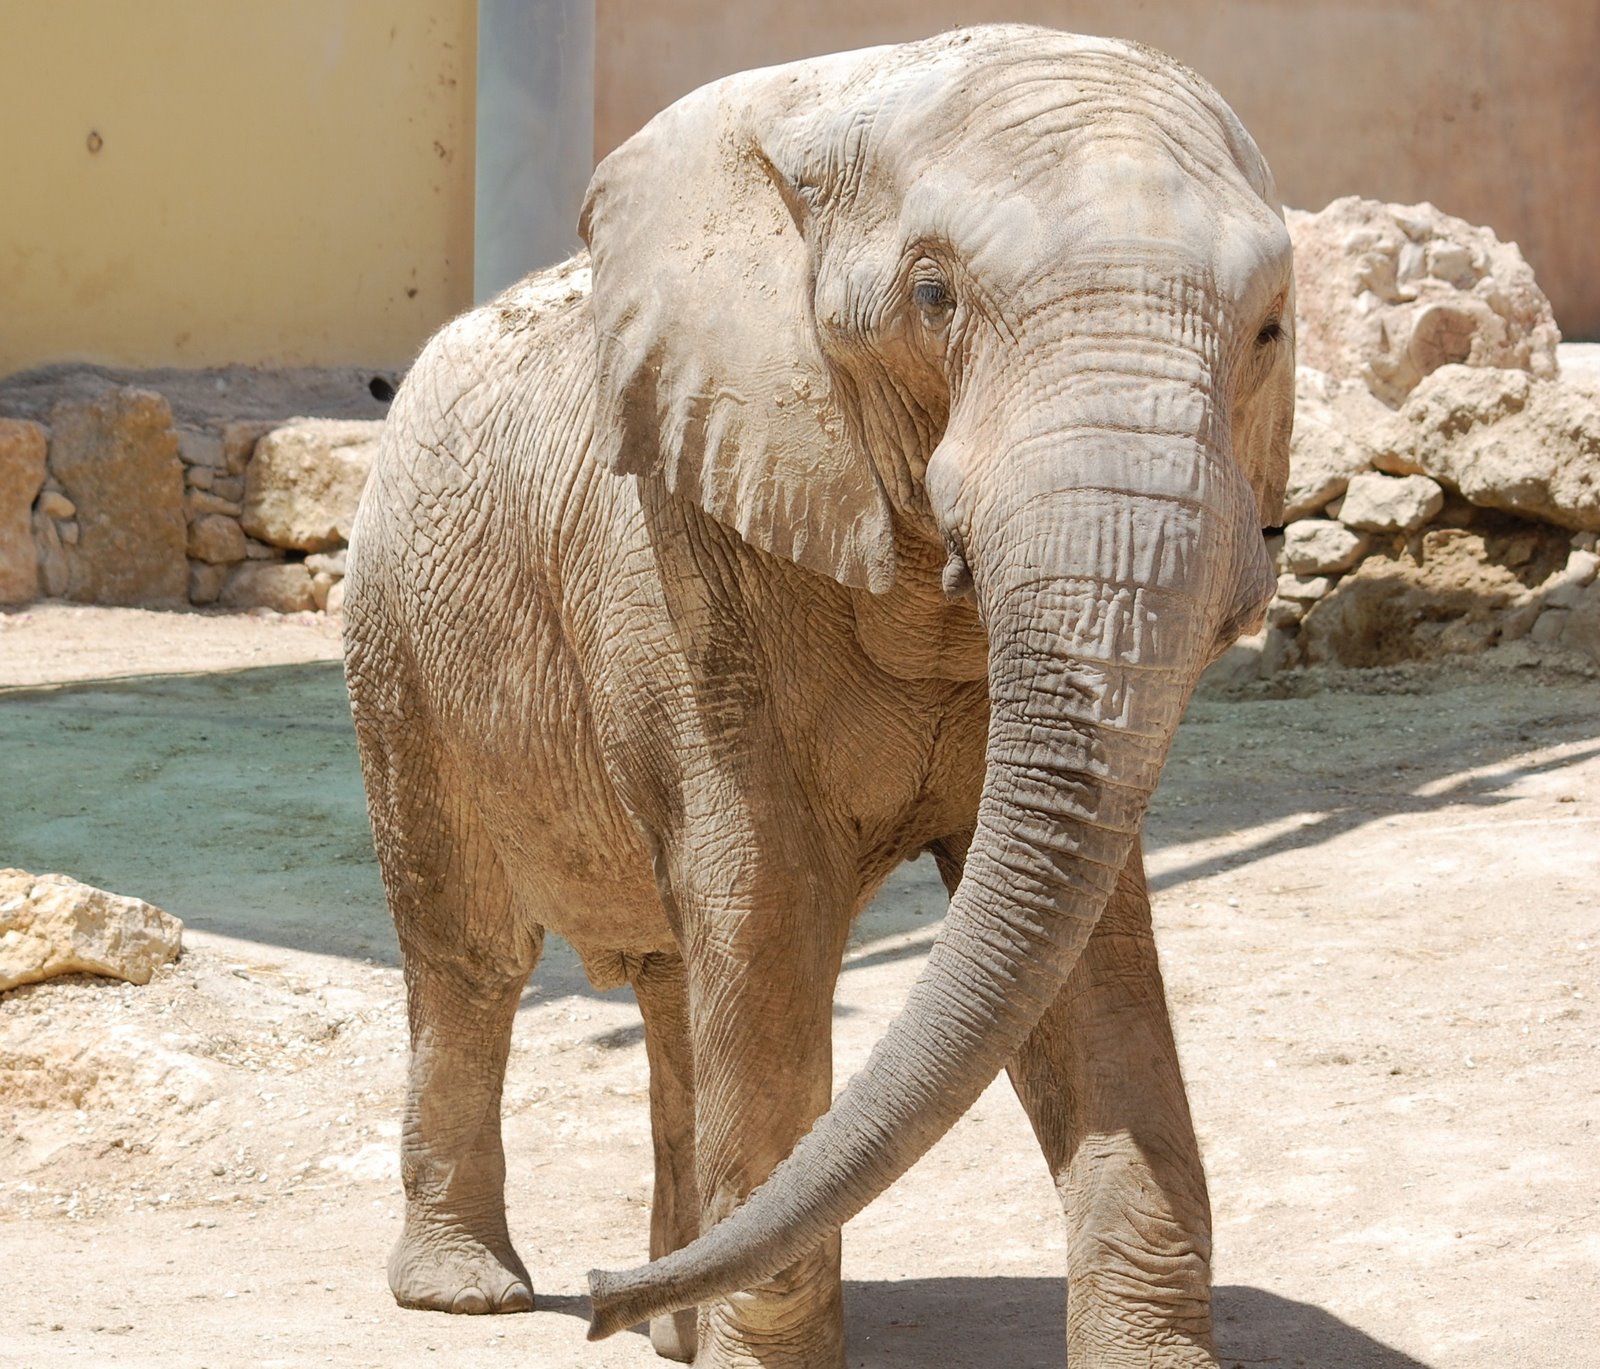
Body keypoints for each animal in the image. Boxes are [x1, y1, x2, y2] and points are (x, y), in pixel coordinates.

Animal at [342, 24, 1293, 1369]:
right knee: (468, 951)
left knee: (672, 978)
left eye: (1267, 329)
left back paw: (669, 1321)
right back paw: (470, 1293)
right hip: (399, 636)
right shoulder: (683, 553)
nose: (595, 1294)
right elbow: (769, 897)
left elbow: (1084, 943)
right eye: (934, 298)